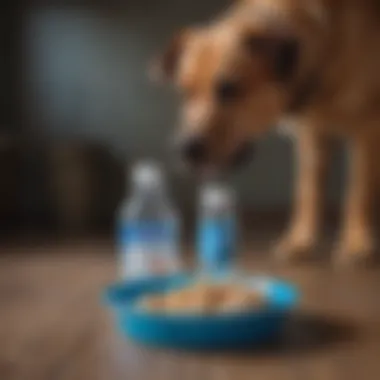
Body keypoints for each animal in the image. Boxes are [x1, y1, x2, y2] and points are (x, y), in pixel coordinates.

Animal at [150, 0, 380, 266]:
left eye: (229, 88)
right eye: (185, 92)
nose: (184, 149)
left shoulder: (365, 132)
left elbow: (358, 194)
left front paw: (357, 244)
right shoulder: (312, 137)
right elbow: (308, 192)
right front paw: (301, 242)